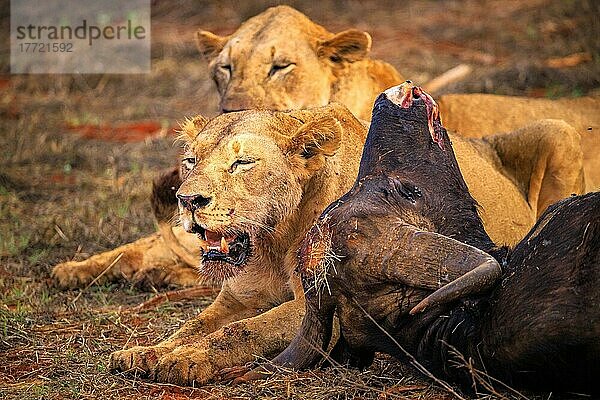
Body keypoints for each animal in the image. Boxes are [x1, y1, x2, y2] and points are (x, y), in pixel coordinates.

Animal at [104, 101, 584, 388]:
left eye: (243, 163)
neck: (272, 240)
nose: (187, 200)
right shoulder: (237, 298)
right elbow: (194, 325)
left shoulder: (319, 302)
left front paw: (183, 362)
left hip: (560, 131)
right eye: (191, 160)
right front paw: (147, 352)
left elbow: (240, 331)